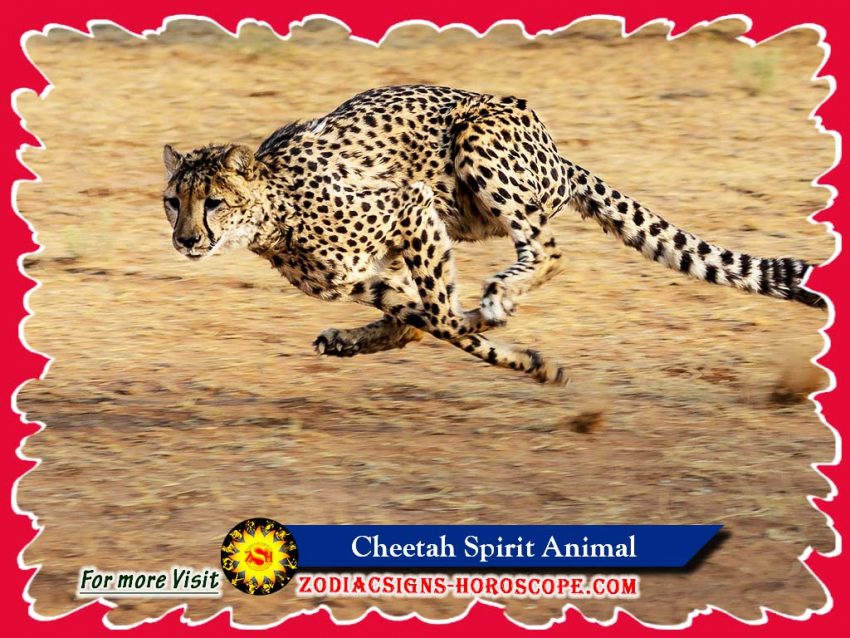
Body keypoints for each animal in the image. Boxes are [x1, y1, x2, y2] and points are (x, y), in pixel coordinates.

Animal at [161, 84, 825, 386]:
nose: (186, 240)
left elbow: (442, 317)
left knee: (547, 252)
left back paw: (501, 295)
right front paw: (523, 358)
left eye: (212, 202)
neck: (273, 213)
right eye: (173, 202)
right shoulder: (365, 276)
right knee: (423, 317)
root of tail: (557, 151)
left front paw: (517, 349)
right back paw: (360, 338)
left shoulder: (411, 207)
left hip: (476, 143)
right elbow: (428, 320)